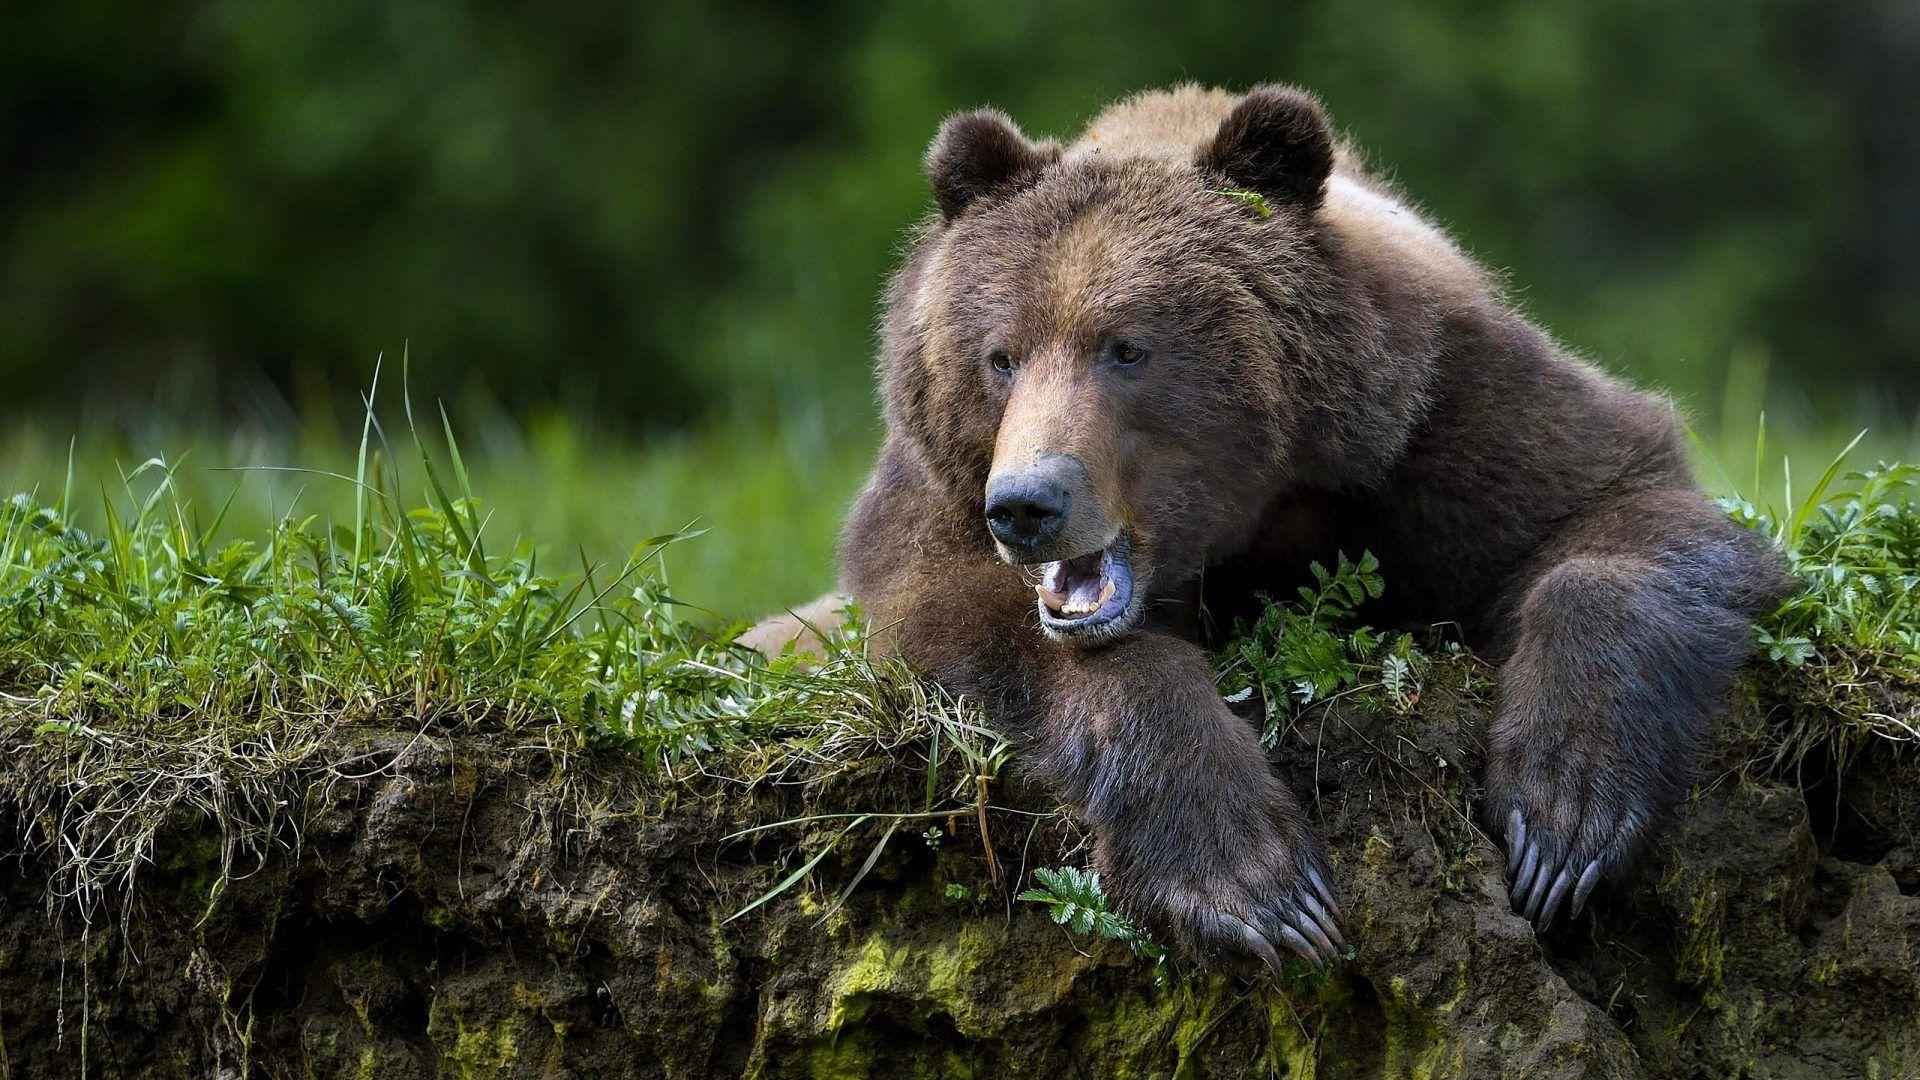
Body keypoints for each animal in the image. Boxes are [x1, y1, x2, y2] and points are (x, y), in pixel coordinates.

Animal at [747, 84, 1786, 970]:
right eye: (1000, 356)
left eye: (1127, 348)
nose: (1027, 507)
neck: (1257, 510)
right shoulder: (932, 503)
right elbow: (968, 622)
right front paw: (1256, 883)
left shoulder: (1446, 419)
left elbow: (1617, 510)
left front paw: (1564, 816)